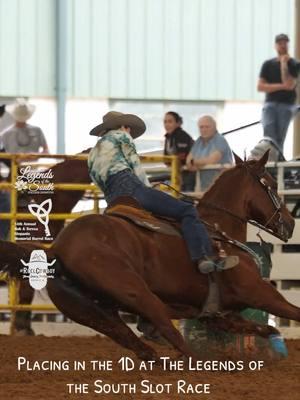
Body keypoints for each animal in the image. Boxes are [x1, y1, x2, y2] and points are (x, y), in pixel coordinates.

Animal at [0, 152, 296, 360]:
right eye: (271, 184)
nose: (291, 223)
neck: (219, 231)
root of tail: (56, 249)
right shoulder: (260, 293)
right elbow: (294, 311)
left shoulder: (218, 314)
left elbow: (260, 327)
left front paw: (275, 342)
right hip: (137, 293)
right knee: (169, 332)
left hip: (90, 312)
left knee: (137, 344)